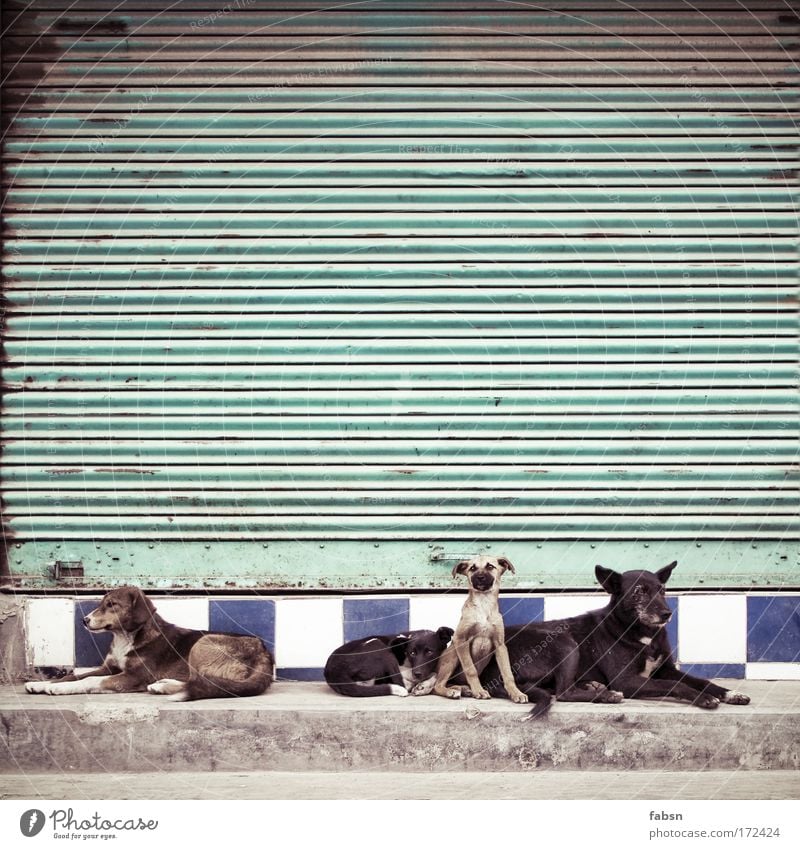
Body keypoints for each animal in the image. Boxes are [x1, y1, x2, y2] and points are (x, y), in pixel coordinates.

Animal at [23, 588, 274, 700]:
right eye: (102, 603)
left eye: (112, 604)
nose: (84, 620)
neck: (125, 637)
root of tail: (264, 652)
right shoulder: (109, 668)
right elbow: (75, 675)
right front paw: (42, 683)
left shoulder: (133, 676)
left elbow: (89, 681)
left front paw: (58, 688)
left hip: (202, 643)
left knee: (203, 683)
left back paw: (163, 686)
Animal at [324, 628, 454, 700]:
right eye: (412, 653)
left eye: (429, 652)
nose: (417, 673)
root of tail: (334, 674)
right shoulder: (405, 669)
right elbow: (434, 673)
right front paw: (423, 686)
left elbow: (434, 673)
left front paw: (423, 686)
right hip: (378, 646)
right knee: (401, 683)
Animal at [434, 552, 528, 700]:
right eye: (472, 568)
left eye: (490, 566)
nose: (480, 577)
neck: (484, 603)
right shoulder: (460, 640)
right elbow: (471, 670)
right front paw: (479, 690)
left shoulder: (500, 645)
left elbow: (507, 673)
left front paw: (516, 693)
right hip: (453, 652)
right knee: (437, 685)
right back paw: (452, 691)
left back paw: (463, 689)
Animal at [482, 560, 752, 720]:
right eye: (639, 592)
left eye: (662, 590)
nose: (667, 614)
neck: (643, 635)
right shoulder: (626, 680)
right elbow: (673, 685)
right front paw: (704, 699)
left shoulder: (666, 669)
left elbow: (701, 681)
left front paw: (730, 694)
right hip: (564, 641)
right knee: (563, 691)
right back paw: (605, 695)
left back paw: (593, 686)